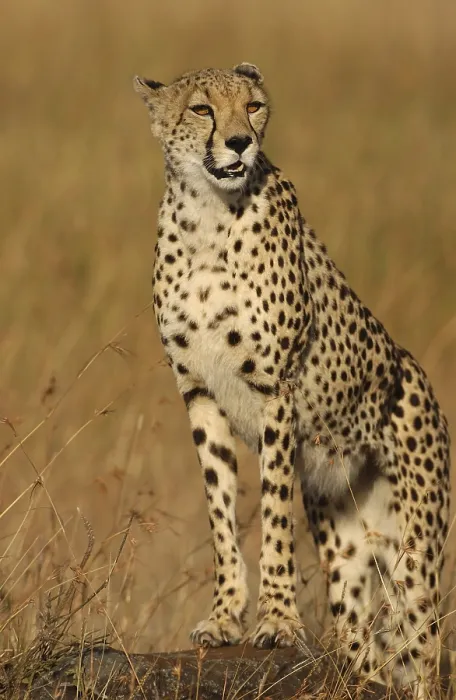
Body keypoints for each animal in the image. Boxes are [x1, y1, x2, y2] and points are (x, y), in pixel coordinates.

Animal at [133, 63, 450, 696]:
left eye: (254, 106)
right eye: (202, 109)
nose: (239, 142)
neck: (207, 216)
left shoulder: (273, 389)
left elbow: (274, 506)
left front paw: (277, 621)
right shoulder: (197, 393)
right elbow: (221, 511)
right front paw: (225, 615)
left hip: (414, 562)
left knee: (422, 652)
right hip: (349, 549)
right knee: (361, 644)